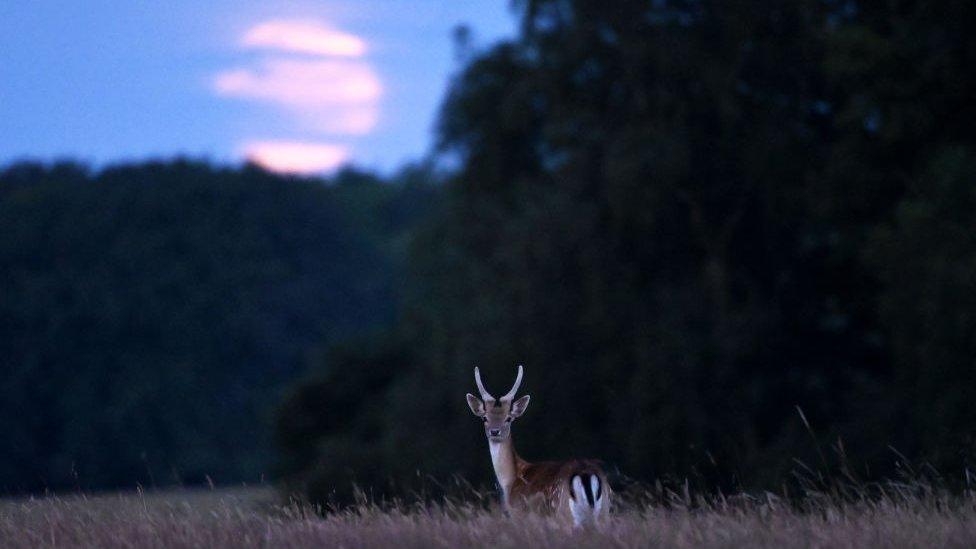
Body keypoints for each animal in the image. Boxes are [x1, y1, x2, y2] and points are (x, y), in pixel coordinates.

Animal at [466, 364, 608, 528]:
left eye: (508, 418)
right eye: (484, 417)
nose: (495, 431)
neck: (510, 481)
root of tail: (586, 473)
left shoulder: (520, 516)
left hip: (563, 514)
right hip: (606, 512)